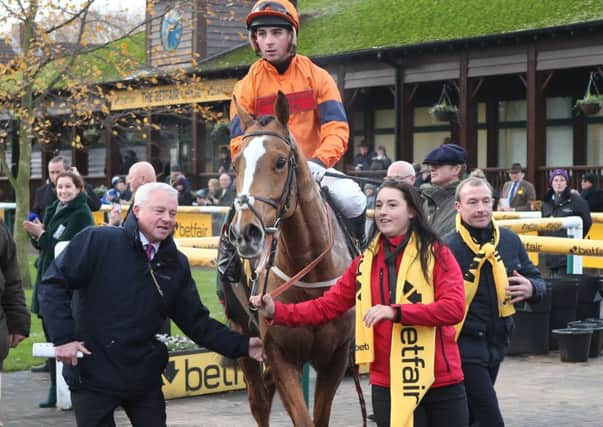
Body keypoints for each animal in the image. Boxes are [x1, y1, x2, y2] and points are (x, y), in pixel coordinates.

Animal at [228, 92, 358, 426]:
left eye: (280, 162)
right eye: (235, 163)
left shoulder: (336, 357)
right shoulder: (280, 354)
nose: (245, 233)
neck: (308, 268)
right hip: (240, 332)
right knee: (259, 402)